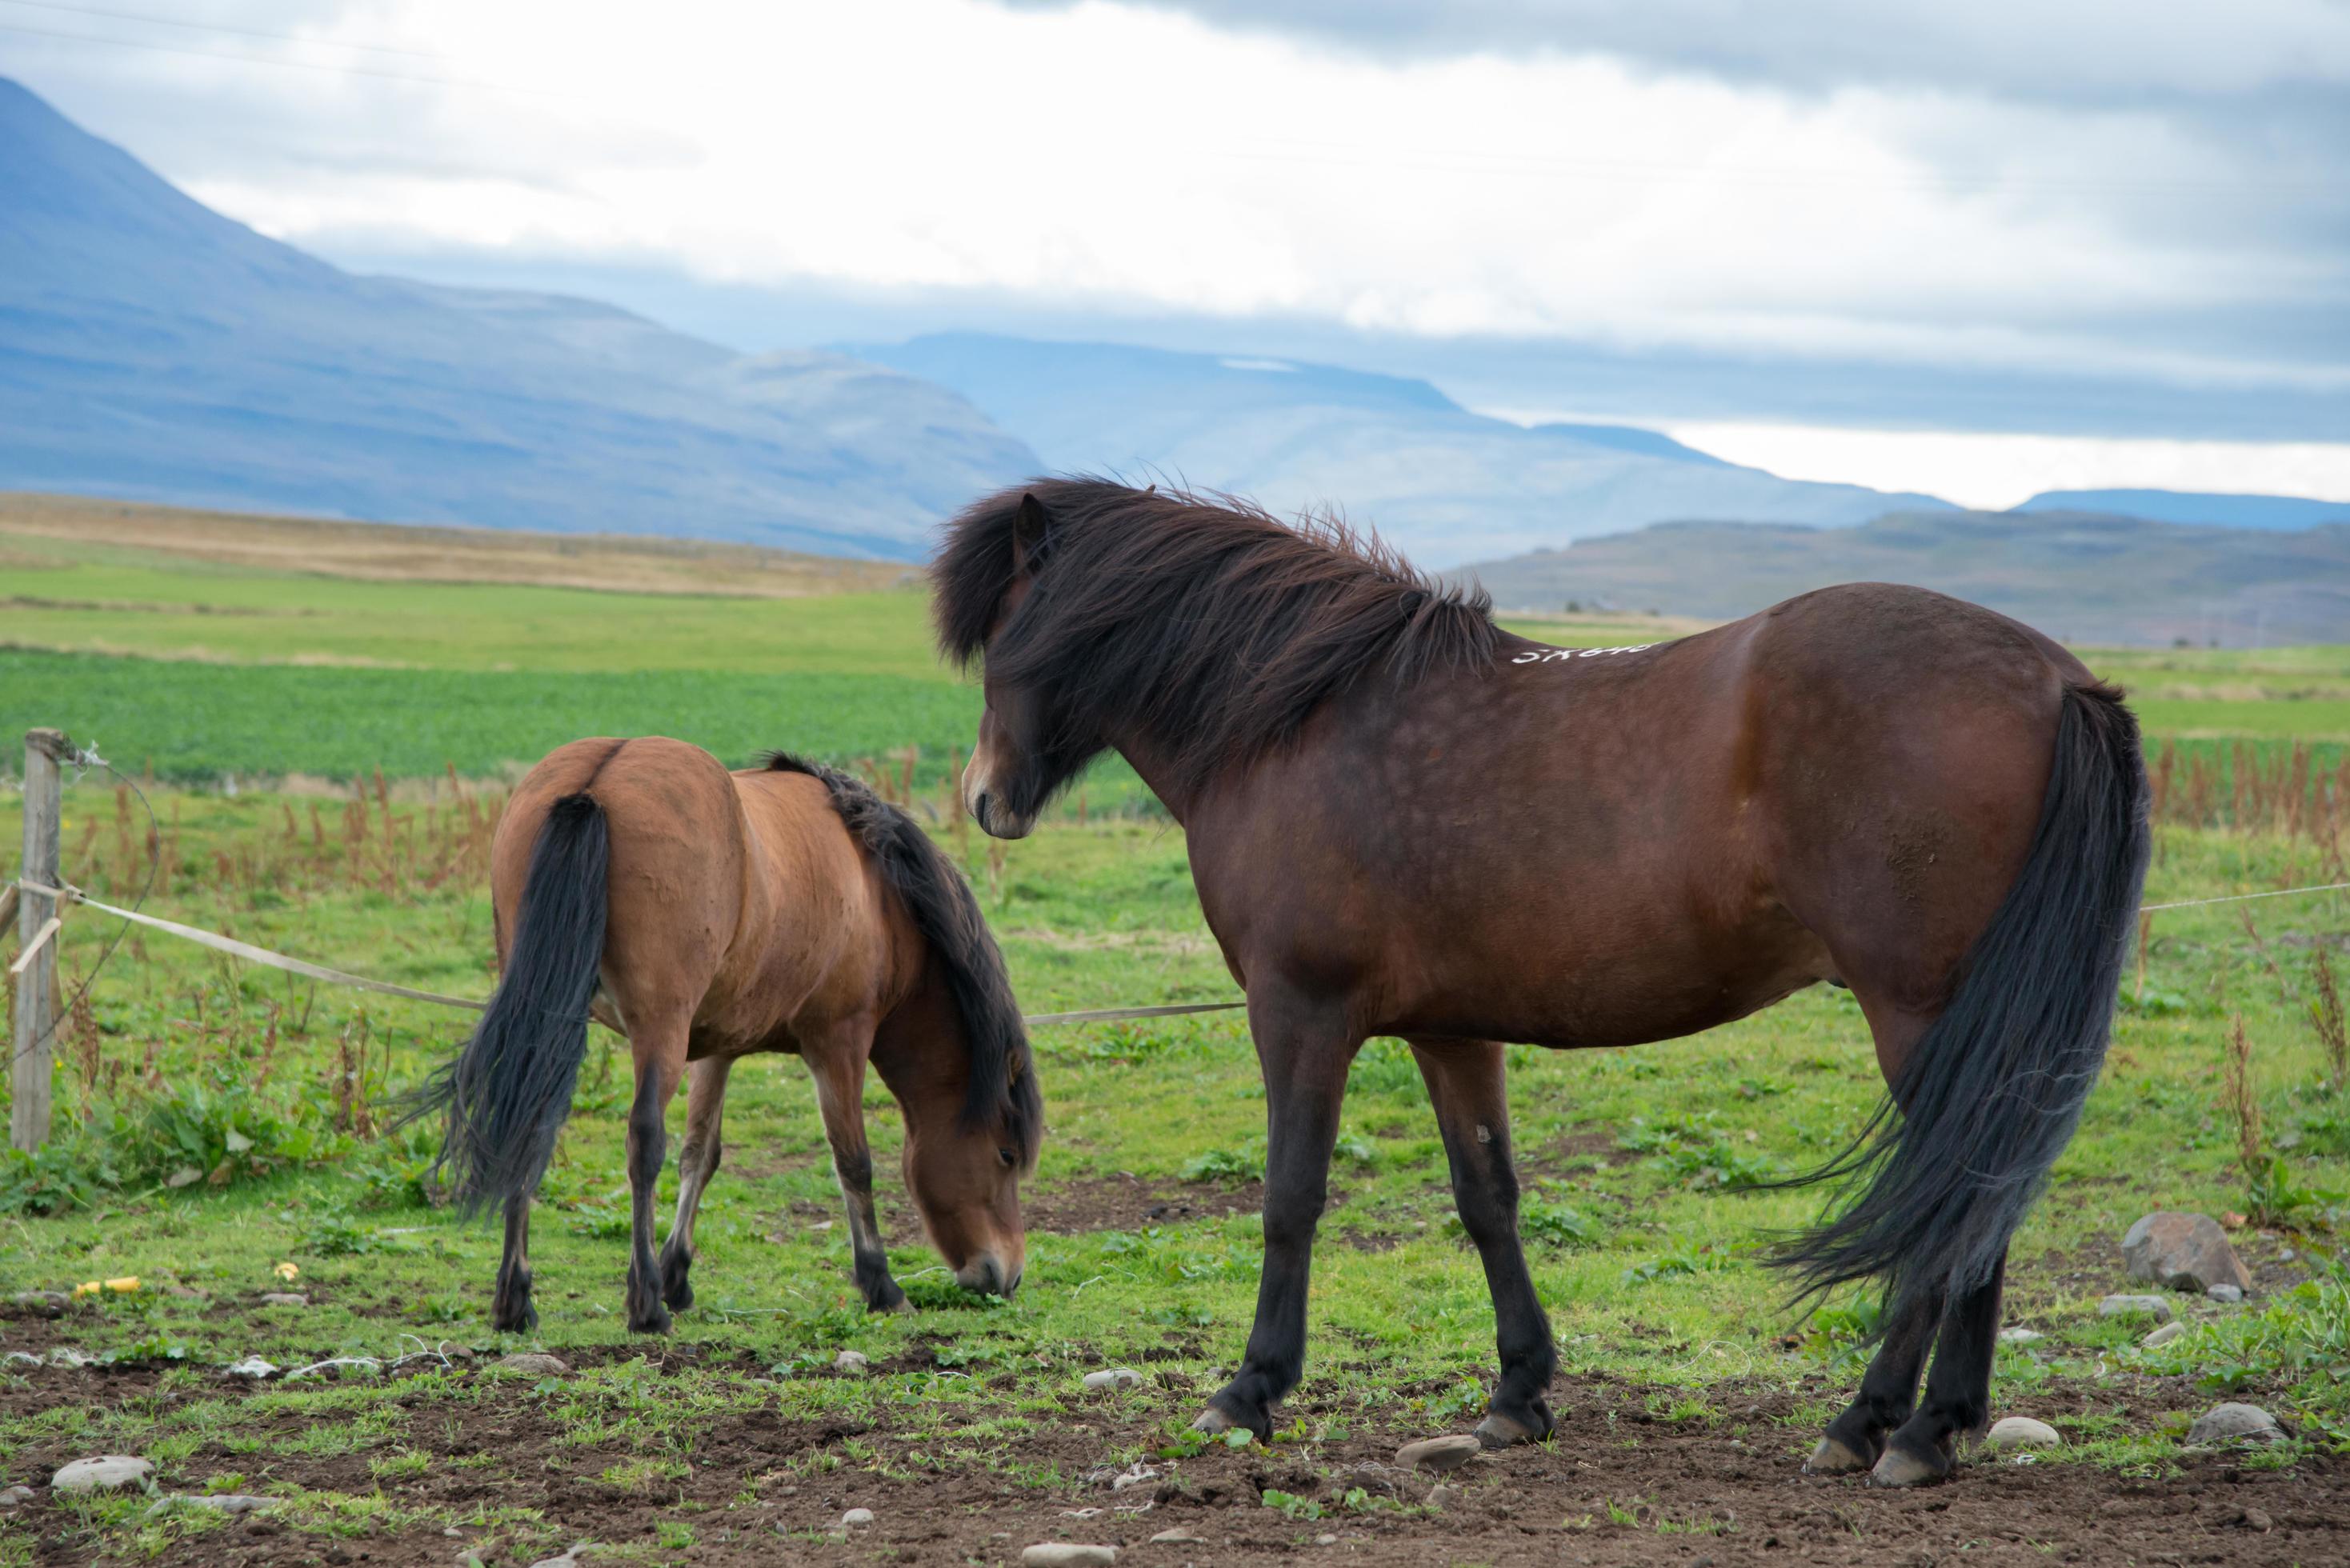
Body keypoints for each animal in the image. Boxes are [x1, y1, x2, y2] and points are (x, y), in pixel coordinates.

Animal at [409, 738, 1043, 1335]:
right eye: (1006, 1154)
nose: (1007, 1275)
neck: (877, 892)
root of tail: (595, 782)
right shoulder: (838, 1043)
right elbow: (853, 1160)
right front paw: (880, 1285)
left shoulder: (716, 1050)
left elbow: (701, 1155)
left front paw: (677, 1276)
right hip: (658, 1030)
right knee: (643, 1140)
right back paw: (643, 1306)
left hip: (552, 1021)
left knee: (531, 1121)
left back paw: (516, 1300)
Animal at [935, 484, 2152, 1494]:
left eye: (1004, 631)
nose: (985, 797)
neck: (1301, 721)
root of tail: (2060, 677)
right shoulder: (1450, 1032)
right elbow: (1489, 1200)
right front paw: (1517, 1395)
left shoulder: (1299, 1013)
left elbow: (1289, 1198)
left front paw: (1248, 1390)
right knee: (1977, 1201)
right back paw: (1929, 1421)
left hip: (1921, 1014)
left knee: (1960, 1196)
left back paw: (1886, 1429)